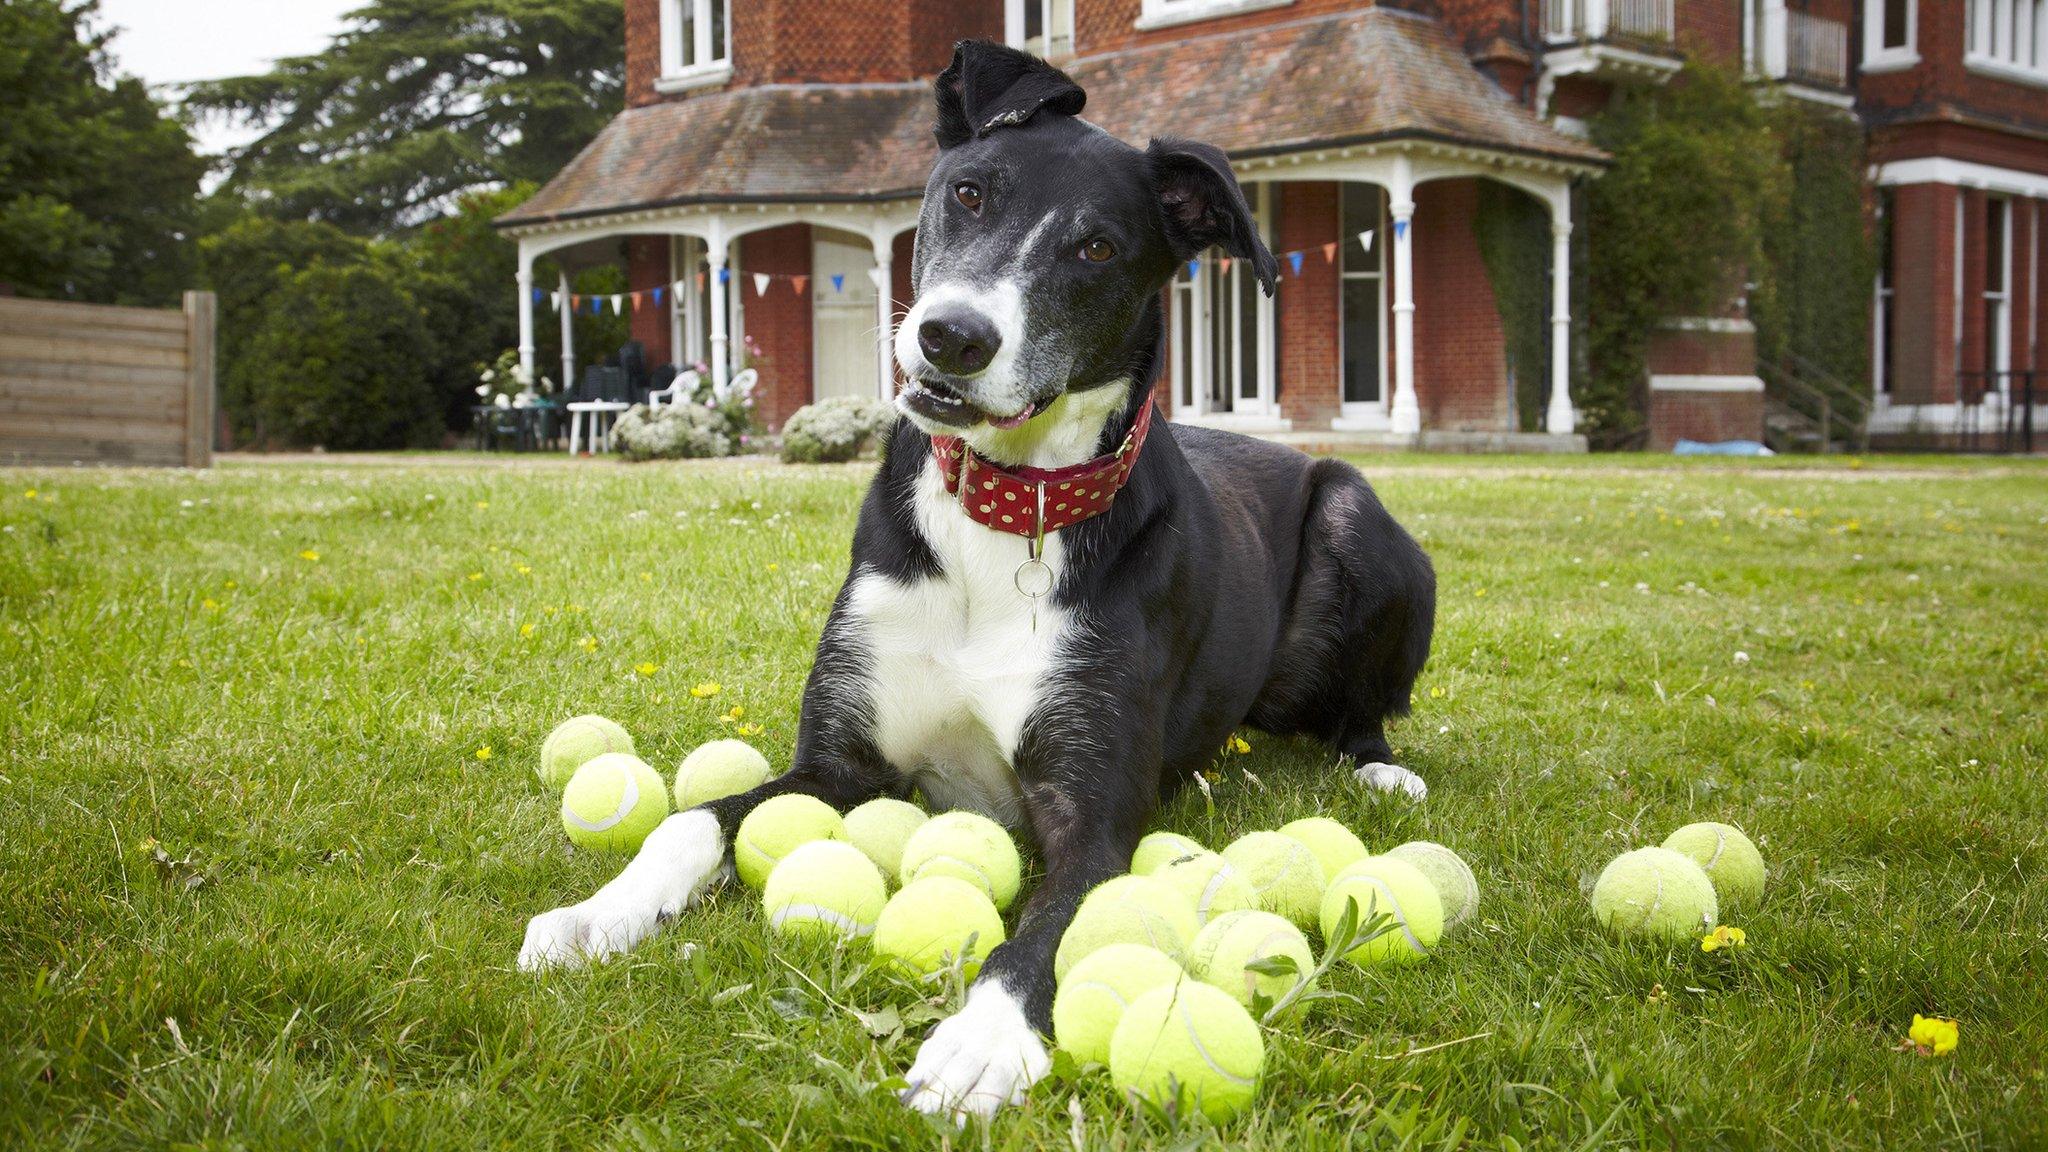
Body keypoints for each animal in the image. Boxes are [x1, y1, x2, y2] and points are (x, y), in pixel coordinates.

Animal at [520, 42, 1433, 1115]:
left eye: (1097, 249)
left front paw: (983, 1040)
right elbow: (690, 822)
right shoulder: (840, 763)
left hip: (1355, 513)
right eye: (968, 192)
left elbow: (1054, 931)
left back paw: (1379, 766)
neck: (1004, 518)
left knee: (1362, 706)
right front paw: (600, 912)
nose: (953, 337)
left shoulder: (1094, 821)